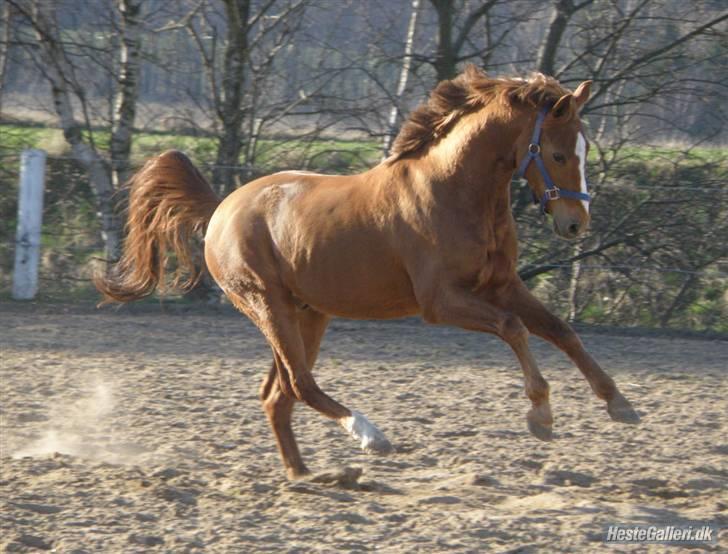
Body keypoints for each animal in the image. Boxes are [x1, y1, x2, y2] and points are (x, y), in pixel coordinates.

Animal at [96, 65, 640, 479]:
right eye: (557, 153)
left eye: (584, 150)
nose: (575, 223)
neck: (457, 192)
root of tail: (222, 208)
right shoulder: (441, 302)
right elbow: (514, 329)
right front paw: (541, 414)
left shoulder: (502, 285)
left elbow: (561, 330)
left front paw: (619, 404)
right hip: (267, 305)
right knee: (298, 384)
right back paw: (369, 436)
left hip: (308, 313)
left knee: (277, 395)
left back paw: (306, 475)